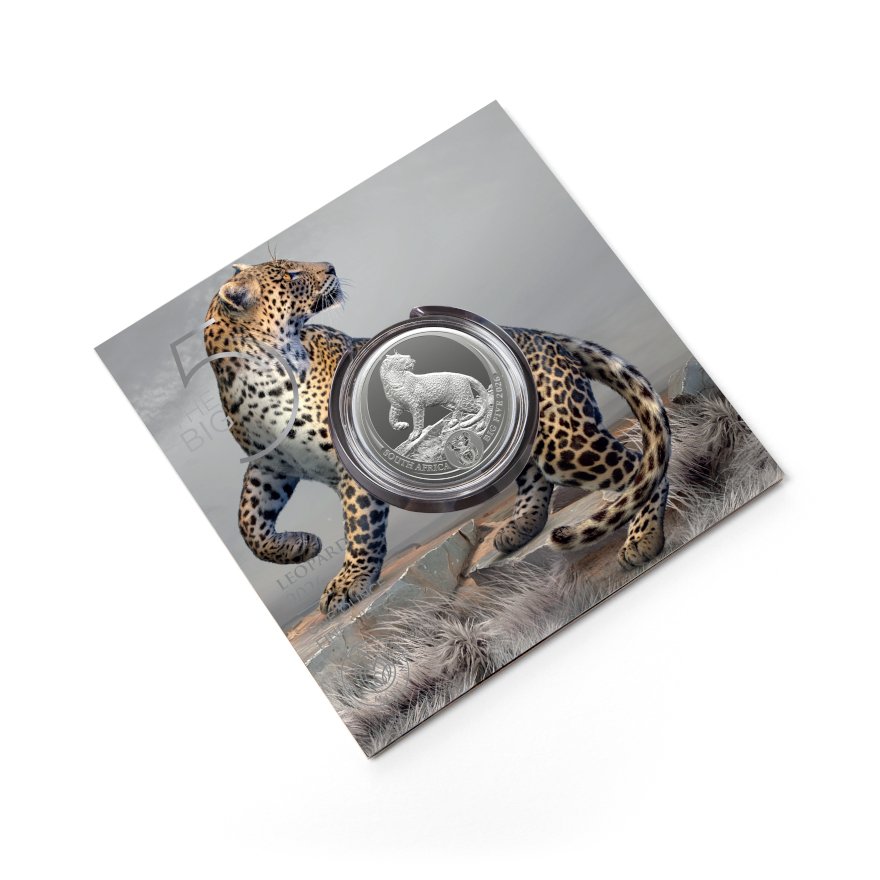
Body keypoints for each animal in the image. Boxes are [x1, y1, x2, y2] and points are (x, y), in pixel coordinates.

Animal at [204, 259, 670, 617]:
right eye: (292, 275)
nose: (332, 267)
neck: (256, 373)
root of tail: (543, 335)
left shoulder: (348, 467)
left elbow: (359, 527)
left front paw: (349, 581)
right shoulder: (270, 466)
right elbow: (249, 526)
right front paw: (301, 546)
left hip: (566, 442)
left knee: (642, 465)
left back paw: (643, 538)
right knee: (534, 475)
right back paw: (519, 527)